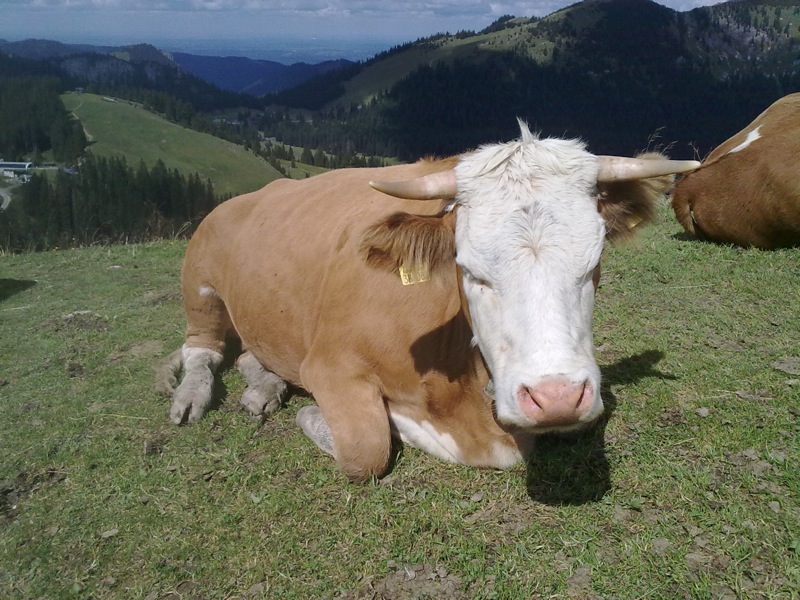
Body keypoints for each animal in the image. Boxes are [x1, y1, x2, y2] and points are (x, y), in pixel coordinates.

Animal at [156, 123, 700, 482]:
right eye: (470, 268)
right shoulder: (329, 364)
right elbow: (368, 449)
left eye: (594, 263)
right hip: (200, 280)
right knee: (201, 349)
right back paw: (193, 395)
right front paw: (346, 419)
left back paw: (263, 385)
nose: (557, 397)